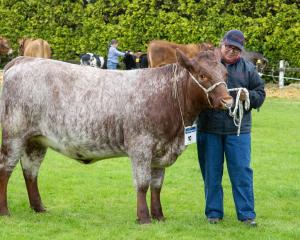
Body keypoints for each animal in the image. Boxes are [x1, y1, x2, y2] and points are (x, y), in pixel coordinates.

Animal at [0, 49, 232, 224]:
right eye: (202, 75)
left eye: (225, 74)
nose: (228, 101)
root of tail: (24, 60)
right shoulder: (141, 147)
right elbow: (143, 184)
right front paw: (144, 218)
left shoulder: (161, 151)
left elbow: (157, 186)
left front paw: (159, 216)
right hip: (13, 136)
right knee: (5, 170)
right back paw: (5, 212)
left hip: (35, 141)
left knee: (30, 173)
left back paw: (39, 208)